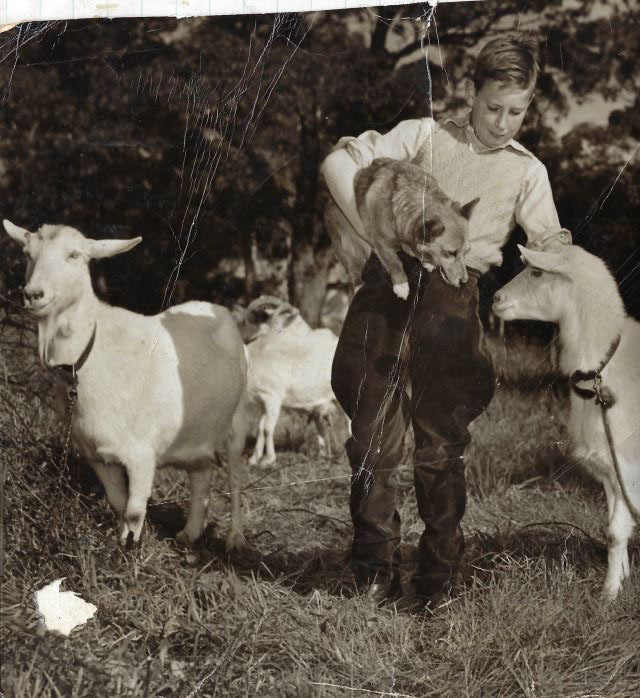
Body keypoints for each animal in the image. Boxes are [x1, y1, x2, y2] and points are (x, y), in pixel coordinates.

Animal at [5, 220, 248, 548]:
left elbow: (134, 512)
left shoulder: (142, 453)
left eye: (74, 255)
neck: (89, 355)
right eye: (28, 254)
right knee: (201, 473)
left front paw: (131, 549)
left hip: (239, 420)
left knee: (235, 475)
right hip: (197, 429)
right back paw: (190, 533)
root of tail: (219, 310)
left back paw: (235, 536)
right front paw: (119, 544)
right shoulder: (97, 455)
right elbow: (118, 503)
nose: (33, 294)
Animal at [240, 294, 340, 462]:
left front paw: (268, 459)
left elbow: (267, 429)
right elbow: (260, 428)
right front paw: (254, 459)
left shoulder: (273, 397)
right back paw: (323, 454)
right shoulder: (263, 402)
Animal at [496, 245, 640, 600]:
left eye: (536, 272)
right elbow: (614, 528)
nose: (495, 298)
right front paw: (622, 576)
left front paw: (609, 594)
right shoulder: (609, 469)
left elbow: (617, 530)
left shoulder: (628, 466)